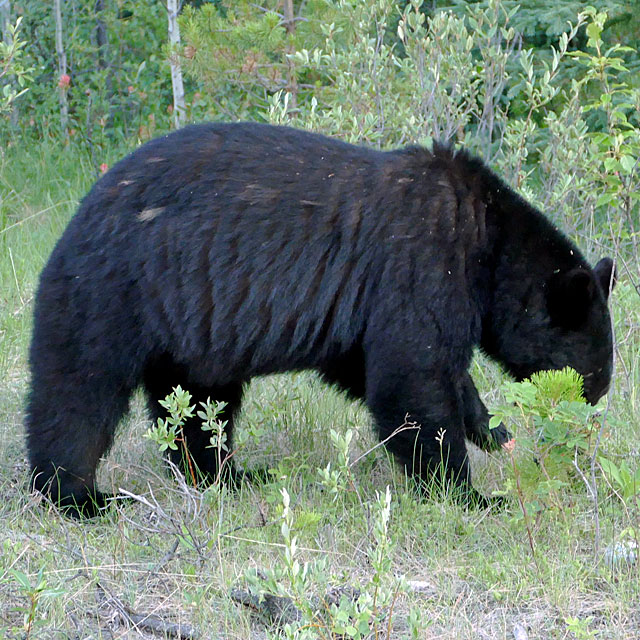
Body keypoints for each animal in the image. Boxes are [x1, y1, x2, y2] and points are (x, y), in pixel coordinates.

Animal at [25, 122, 616, 516]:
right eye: (592, 370)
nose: (594, 406)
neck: (488, 244)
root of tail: (79, 214)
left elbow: (377, 368)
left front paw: (492, 430)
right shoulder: (420, 264)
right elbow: (412, 378)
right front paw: (468, 493)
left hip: (194, 332)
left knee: (199, 403)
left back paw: (232, 476)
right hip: (111, 291)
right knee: (78, 394)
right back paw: (77, 495)